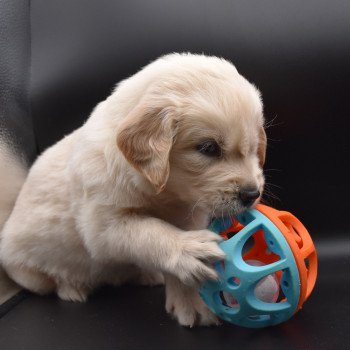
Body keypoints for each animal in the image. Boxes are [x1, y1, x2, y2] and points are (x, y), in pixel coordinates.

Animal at [0, 53, 266, 326]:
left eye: (253, 148)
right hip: (29, 271)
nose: (251, 195)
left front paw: (191, 302)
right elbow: (147, 232)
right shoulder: (102, 226)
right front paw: (186, 251)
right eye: (208, 148)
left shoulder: (189, 217)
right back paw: (72, 287)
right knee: (52, 280)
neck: (164, 193)